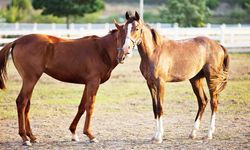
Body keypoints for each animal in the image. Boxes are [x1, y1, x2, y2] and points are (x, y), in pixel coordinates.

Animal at [0, 20, 133, 145]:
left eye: (134, 31)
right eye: (121, 35)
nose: (123, 53)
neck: (101, 50)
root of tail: (17, 41)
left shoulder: (87, 84)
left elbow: (82, 107)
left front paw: (74, 133)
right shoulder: (93, 82)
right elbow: (90, 106)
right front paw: (90, 135)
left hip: (30, 81)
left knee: (27, 104)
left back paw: (32, 137)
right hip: (30, 79)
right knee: (21, 102)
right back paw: (24, 138)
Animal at [124, 11, 229, 143]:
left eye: (137, 28)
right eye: (124, 28)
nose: (126, 49)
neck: (154, 52)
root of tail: (218, 45)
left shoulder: (160, 84)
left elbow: (160, 107)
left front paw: (159, 137)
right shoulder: (150, 84)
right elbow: (155, 108)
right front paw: (154, 135)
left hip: (211, 79)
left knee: (213, 102)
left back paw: (209, 134)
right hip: (195, 79)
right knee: (202, 101)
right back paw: (193, 133)